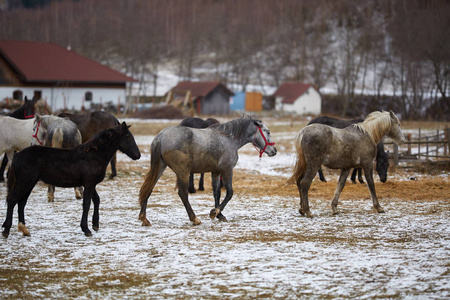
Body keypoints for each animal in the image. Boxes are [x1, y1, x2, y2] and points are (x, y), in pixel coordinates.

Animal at [139, 116, 276, 226]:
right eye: (268, 132)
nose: (274, 150)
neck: (229, 139)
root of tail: (160, 137)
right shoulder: (227, 170)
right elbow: (229, 193)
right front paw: (215, 212)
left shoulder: (215, 172)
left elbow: (217, 193)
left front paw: (219, 214)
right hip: (183, 172)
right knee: (183, 194)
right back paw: (194, 218)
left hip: (160, 168)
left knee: (148, 188)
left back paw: (144, 218)